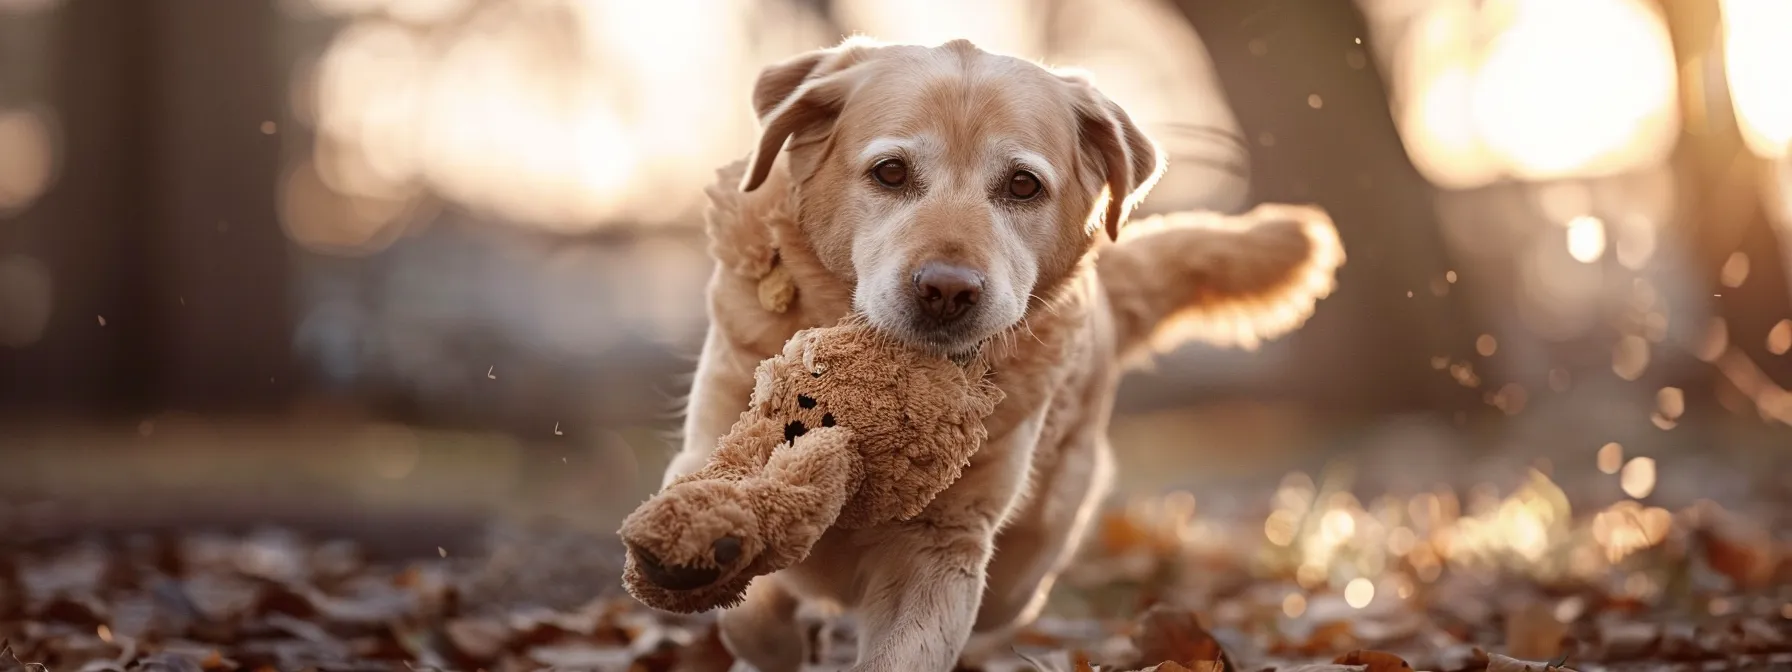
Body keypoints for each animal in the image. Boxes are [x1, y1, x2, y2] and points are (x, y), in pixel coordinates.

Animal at [663, 38, 1347, 672]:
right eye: (890, 172)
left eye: (1023, 184)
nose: (947, 291)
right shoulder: (707, 450)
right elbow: (747, 590)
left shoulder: (943, 545)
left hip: (1026, 568)